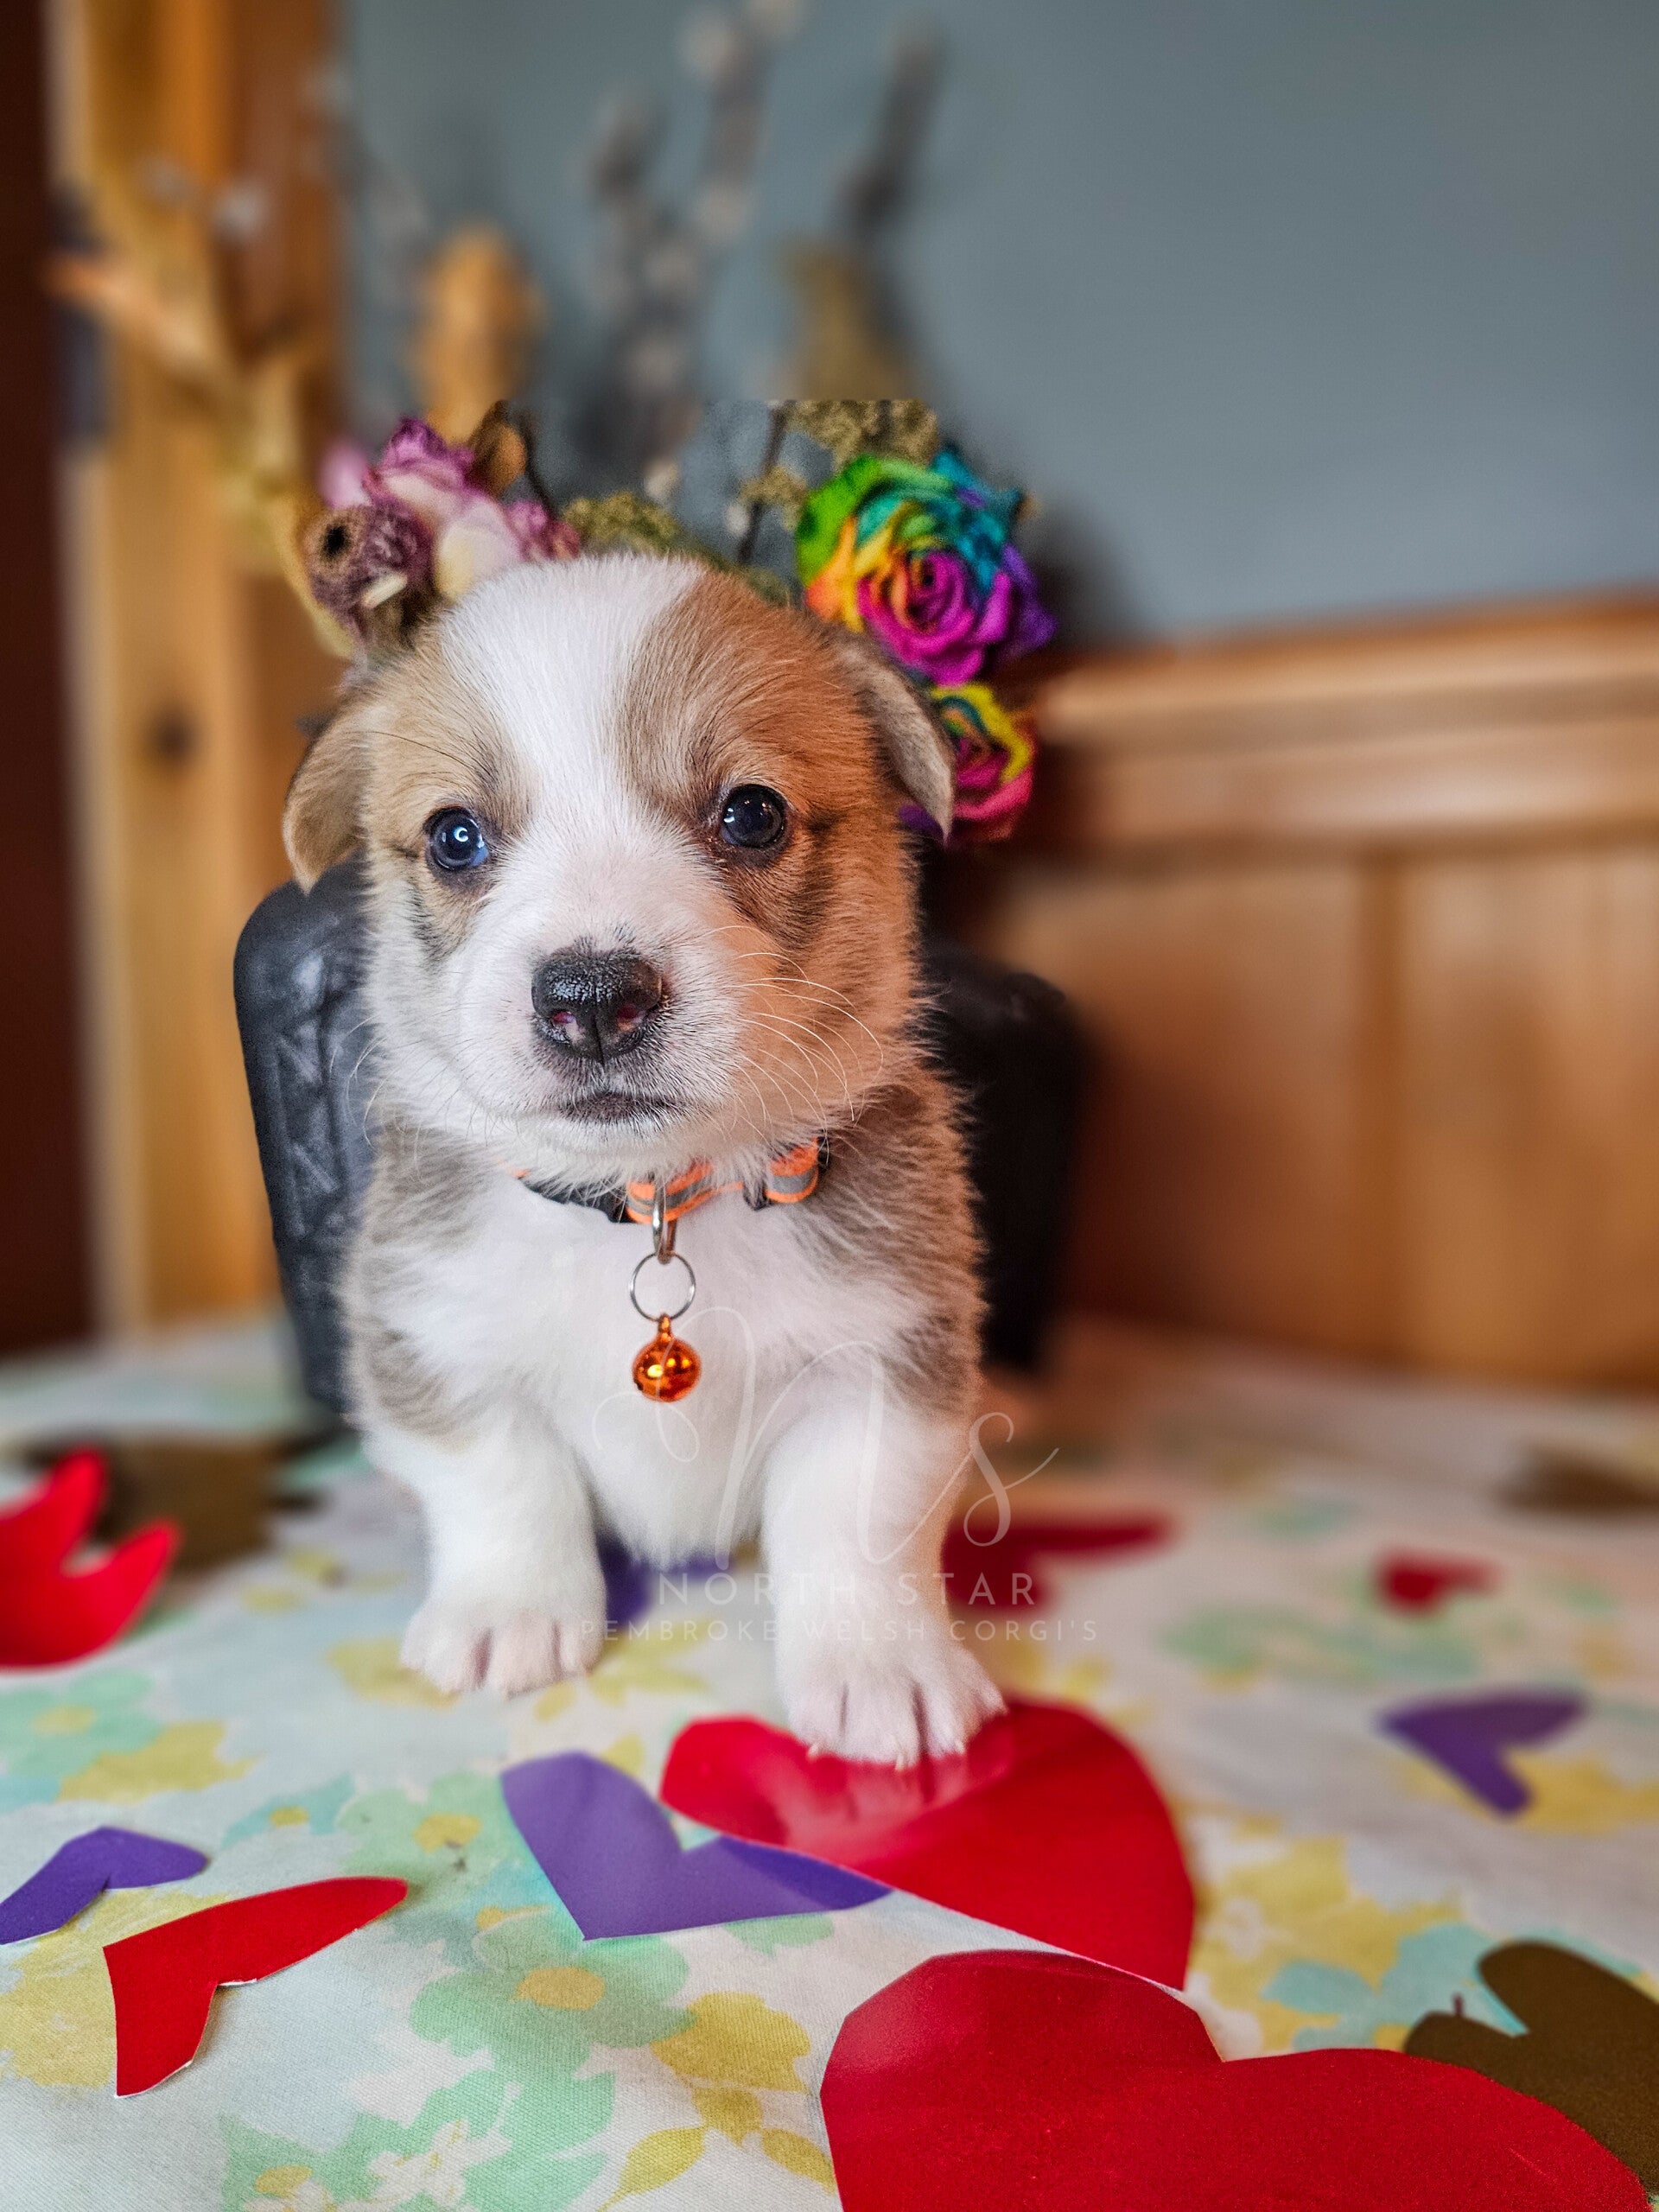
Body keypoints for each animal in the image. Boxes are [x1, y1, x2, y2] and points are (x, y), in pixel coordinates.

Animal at [283, 552, 1003, 1763]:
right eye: (455, 837)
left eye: (751, 813)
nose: (591, 998)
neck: (658, 1195)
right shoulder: (434, 1332)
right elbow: (499, 1475)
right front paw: (510, 1615)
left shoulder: (886, 1358)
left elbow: (856, 1524)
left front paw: (879, 1666)